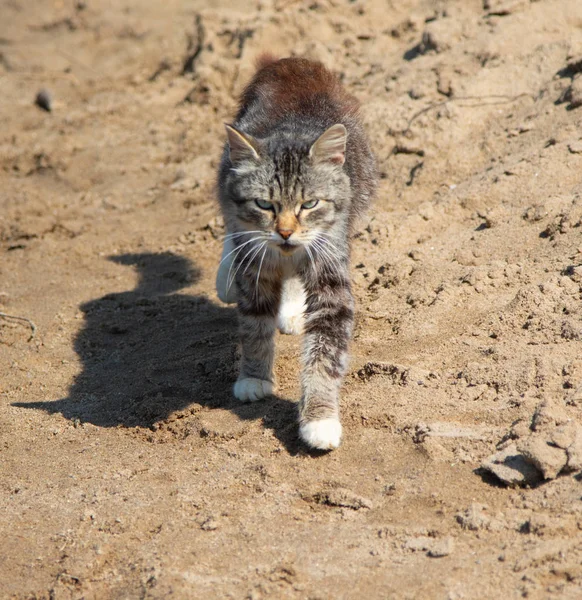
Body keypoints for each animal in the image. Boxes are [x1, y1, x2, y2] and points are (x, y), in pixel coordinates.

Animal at [216, 56, 378, 450]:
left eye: (310, 204)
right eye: (264, 205)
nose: (286, 232)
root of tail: (293, 63)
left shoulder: (331, 271)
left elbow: (325, 353)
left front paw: (320, 419)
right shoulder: (255, 265)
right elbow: (253, 324)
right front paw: (254, 377)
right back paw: (225, 279)